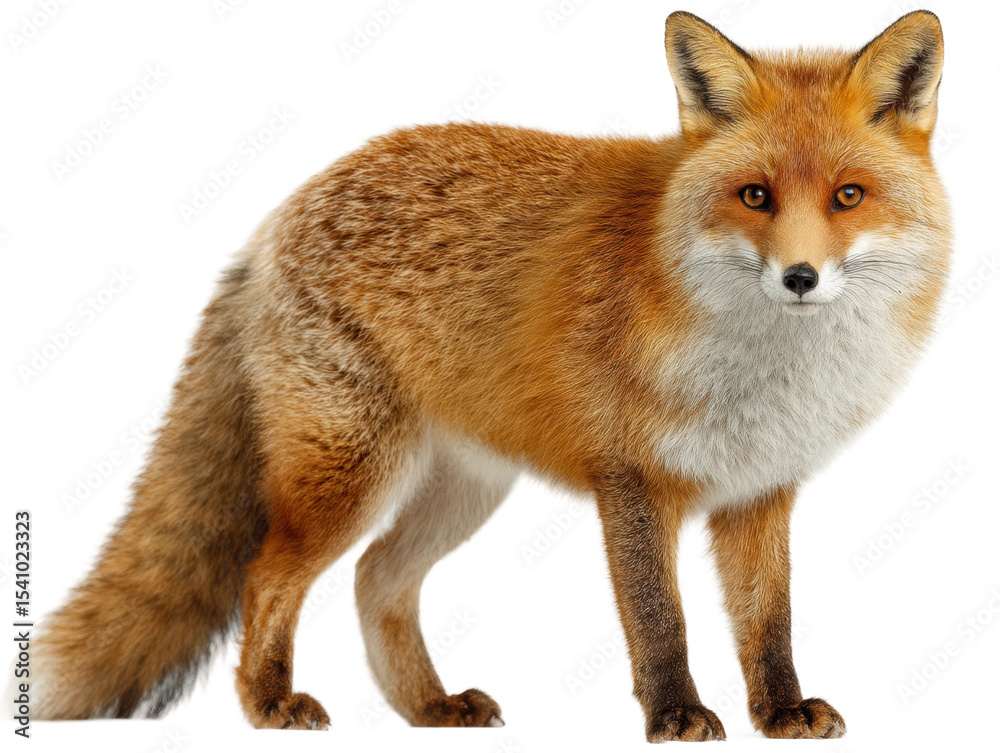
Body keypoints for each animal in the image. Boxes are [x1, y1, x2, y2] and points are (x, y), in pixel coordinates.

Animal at [25, 9, 950, 742]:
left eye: (848, 195)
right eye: (755, 195)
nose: (800, 277)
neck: (765, 369)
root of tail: (280, 213)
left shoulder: (760, 487)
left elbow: (768, 620)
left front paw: (781, 712)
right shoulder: (632, 479)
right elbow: (661, 619)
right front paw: (676, 716)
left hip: (462, 490)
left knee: (376, 577)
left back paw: (427, 707)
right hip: (350, 477)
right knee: (268, 575)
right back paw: (268, 702)